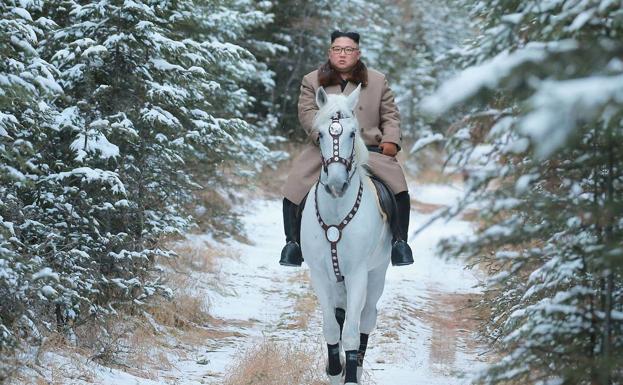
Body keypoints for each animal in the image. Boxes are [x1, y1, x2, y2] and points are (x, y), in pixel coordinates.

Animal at [302, 85, 390, 382]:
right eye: (319, 134)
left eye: (353, 133)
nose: (337, 184)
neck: (336, 213)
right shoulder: (319, 273)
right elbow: (331, 326)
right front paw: (334, 370)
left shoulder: (358, 274)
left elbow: (351, 331)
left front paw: (350, 376)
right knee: (340, 315)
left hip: (377, 274)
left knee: (366, 318)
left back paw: (358, 367)